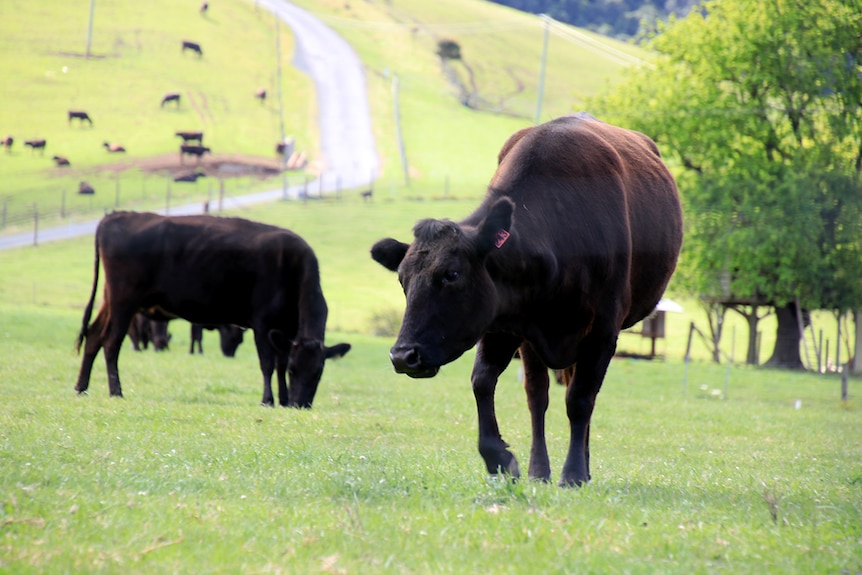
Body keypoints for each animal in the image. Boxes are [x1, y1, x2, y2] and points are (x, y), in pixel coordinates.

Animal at [74, 213, 352, 410]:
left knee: (94, 336)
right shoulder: (262, 323)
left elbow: (279, 362)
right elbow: (268, 364)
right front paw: (268, 400)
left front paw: (282, 399)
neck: (293, 270)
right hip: (124, 301)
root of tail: (116, 216)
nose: (299, 404)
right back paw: (115, 391)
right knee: (111, 343)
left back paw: (81, 387)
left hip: (110, 300)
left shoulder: (285, 330)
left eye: (318, 373)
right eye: (296, 370)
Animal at [370, 112, 680, 486]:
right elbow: (486, 383)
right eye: (402, 280)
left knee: (581, 396)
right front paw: (503, 460)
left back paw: (582, 467)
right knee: (539, 394)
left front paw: (573, 474)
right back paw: (542, 469)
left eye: (451, 274)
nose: (403, 356)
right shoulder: (505, 323)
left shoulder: (604, 331)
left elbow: (580, 400)